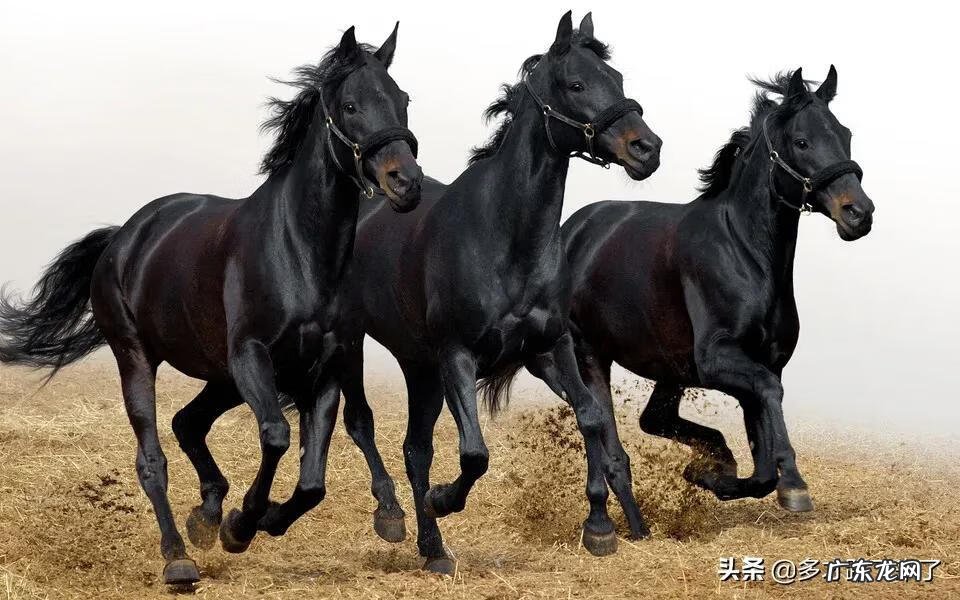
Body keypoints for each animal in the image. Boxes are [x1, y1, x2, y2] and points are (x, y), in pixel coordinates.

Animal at [0, 24, 422, 586]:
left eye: (403, 100)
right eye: (350, 105)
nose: (407, 182)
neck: (299, 252)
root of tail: (124, 237)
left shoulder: (325, 367)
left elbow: (313, 479)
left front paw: (259, 519)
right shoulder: (251, 357)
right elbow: (276, 436)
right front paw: (242, 524)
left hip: (220, 377)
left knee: (187, 423)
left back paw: (205, 515)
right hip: (139, 358)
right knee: (152, 457)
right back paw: (179, 556)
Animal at [329, 12, 661, 573]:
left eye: (616, 79)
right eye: (576, 84)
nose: (647, 149)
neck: (505, 239)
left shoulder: (550, 348)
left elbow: (592, 418)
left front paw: (599, 527)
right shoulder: (457, 357)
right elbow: (474, 453)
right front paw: (444, 499)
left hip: (419, 366)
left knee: (415, 449)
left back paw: (433, 549)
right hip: (355, 343)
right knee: (362, 423)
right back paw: (394, 517)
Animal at [556, 66, 874, 513]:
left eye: (845, 134)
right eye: (801, 141)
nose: (859, 213)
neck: (744, 253)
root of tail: (571, 230)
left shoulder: (760, 363)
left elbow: (762, 463)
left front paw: (712, 476)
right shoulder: (718, 360)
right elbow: (770, 397)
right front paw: (793, 484)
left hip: (669, 368)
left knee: (654, 419)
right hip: (591, 354)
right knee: (608, 434)